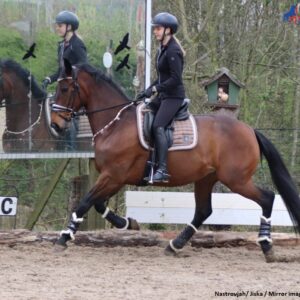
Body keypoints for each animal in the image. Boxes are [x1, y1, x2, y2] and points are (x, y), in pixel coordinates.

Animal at [50, 59, 300, 262]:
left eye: (64, 88)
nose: (55, 125)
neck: (116, 124)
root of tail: (250, 130)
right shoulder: (116, 177)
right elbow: (99, 204)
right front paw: (129, 224)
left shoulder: (113, 175)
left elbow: (85, 202)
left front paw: (65, 237)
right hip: (207, 178)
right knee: (203, 211)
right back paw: (175, 245)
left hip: (236, 179)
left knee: (267, 198)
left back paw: (267, 246)